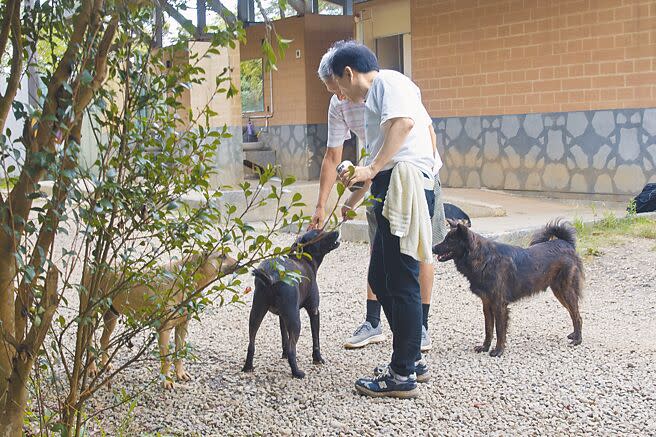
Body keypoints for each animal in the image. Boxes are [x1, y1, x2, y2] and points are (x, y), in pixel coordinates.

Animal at [85, 252, 236, 388]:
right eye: (222, 256)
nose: (239, 263)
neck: (183, 280)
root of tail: (93, 265)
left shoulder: (182, 325)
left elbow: (178, 353)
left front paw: (180, 374)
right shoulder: (164, 330)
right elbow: (166, 358)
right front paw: (167, 381)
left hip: (111, 316)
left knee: (103, 340)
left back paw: (105, 364)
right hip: (90, 316)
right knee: (88, 343)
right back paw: (91, 369)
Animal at [436, 220, 584, 356]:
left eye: (449, 240)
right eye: (445, 238)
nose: (433, 248)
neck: (484, 259)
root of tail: (566, 243)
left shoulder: (499, 305)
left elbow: (499, 330)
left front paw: (498, 351)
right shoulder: (487, 304)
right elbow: (488, 329)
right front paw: (485, 347)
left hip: (566, 291)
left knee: (577, 316)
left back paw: (578, 340)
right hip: (559, 292)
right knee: (573, 314)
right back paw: (574, 335)